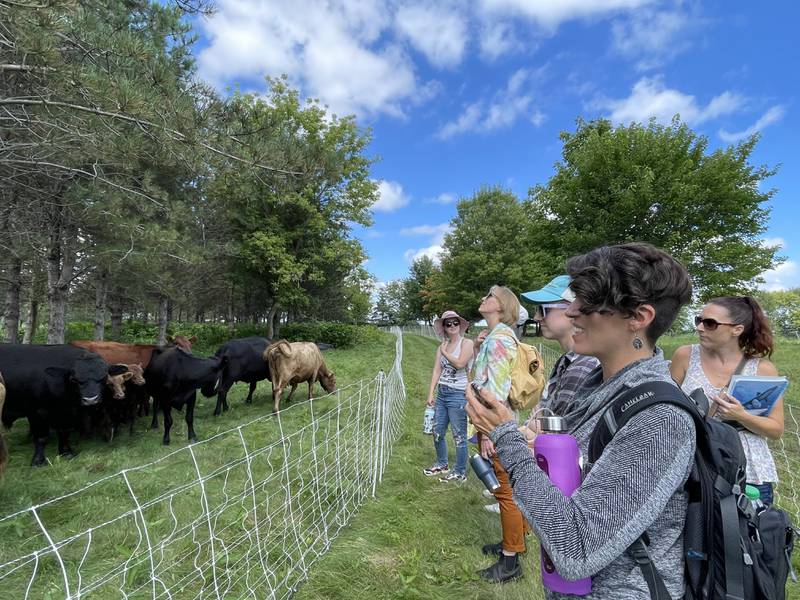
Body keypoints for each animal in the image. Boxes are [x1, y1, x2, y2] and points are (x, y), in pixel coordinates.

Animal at [0, 344, 128, 466]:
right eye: (74, 379)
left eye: (104, 377)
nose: (91, 400)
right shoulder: (37, 412)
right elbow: (41, 437)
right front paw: (38, 461)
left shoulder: (68, 414)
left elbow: (64, 432)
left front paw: (66, 453)